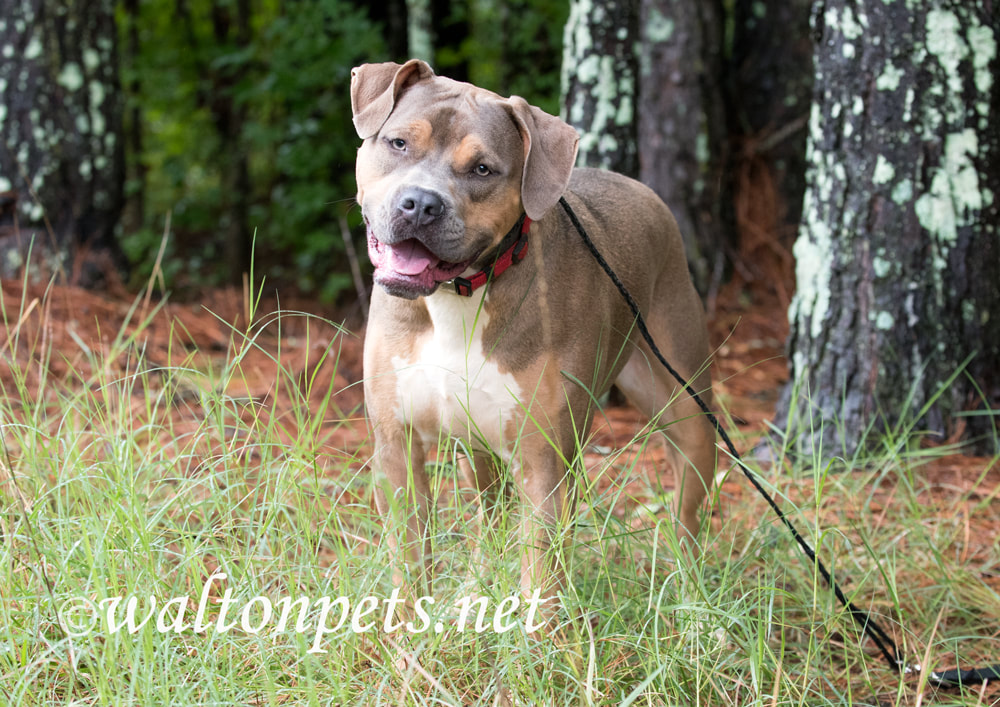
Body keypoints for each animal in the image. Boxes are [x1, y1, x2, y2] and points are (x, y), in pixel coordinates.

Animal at [352, 58, 720, 604]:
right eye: (398, 143)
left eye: (483, 169)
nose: (419, 203)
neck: (460, 294)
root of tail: (639, 186)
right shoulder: (397, 447)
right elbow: (411, 566)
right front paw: (409, 625)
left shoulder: (545, 461)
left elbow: (541, 580)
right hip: (477, 445)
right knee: (488, 514)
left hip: (685, 402)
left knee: (688, 512)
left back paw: (692, 596)